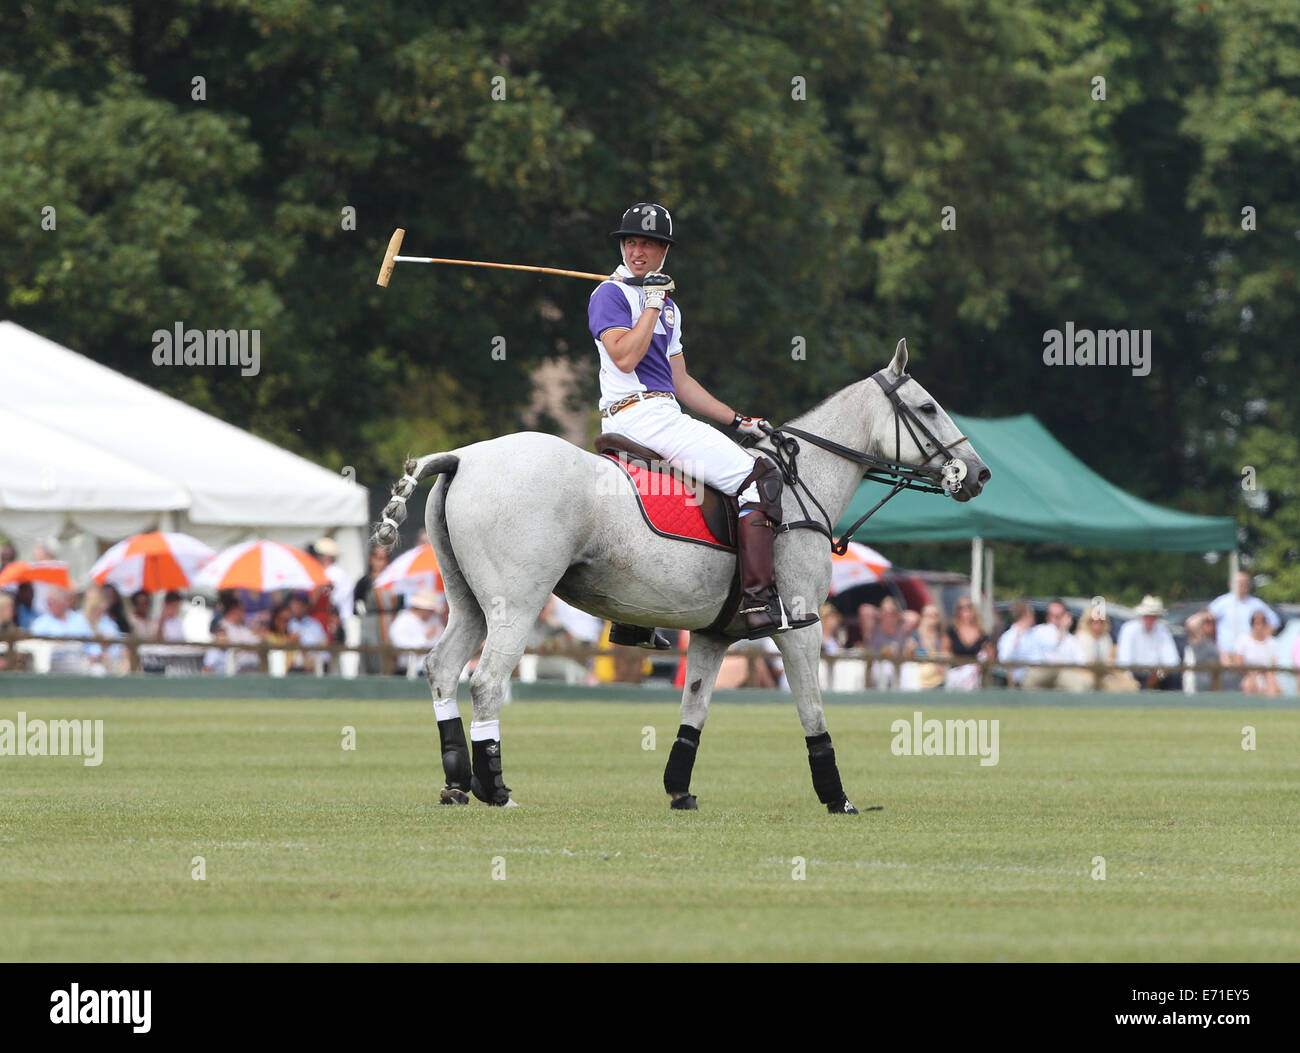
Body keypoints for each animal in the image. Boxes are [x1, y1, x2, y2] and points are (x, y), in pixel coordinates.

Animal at [371, 340, 987, 806]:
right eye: (928, 408)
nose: (977, 474)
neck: (800, 482)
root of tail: (463, 457)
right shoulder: (801, 623)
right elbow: (812, 710)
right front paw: (838, 798)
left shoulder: (714, 634)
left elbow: (694, 707)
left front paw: (679, 791)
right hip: (516, 602)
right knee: (486, 681)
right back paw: (495, 788)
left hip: (468, 600)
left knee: (441, 666)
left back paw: (456, 783)